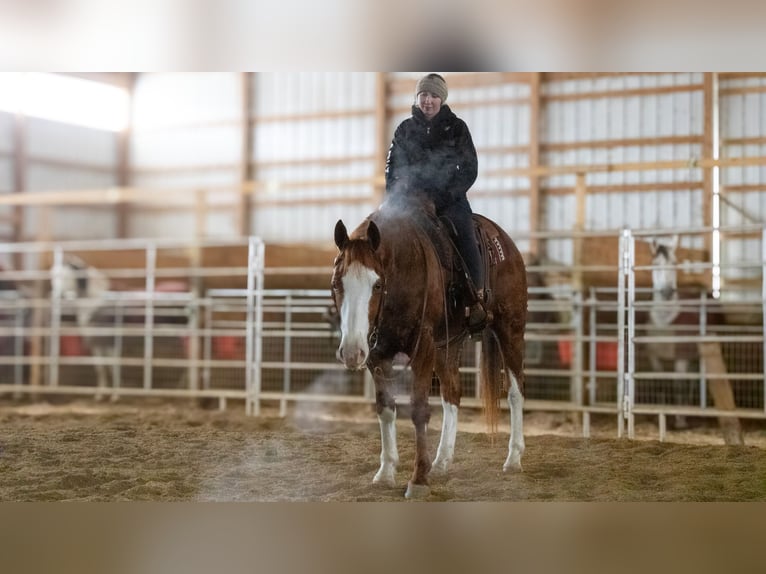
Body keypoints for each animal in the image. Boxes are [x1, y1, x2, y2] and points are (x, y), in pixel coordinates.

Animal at [330, 197, 528, 500]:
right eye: (336, 283)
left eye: (377, 284)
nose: (351, 352)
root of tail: (505, 242)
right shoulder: (377, 354)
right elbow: (385, 408)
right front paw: (385, 472)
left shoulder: (422, 347)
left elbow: (419, 409)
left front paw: (418, 479)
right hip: (448, 345)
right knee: (452, 394)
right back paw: (442, 461)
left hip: (511, 328)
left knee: (515, 392)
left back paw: (514, 458)